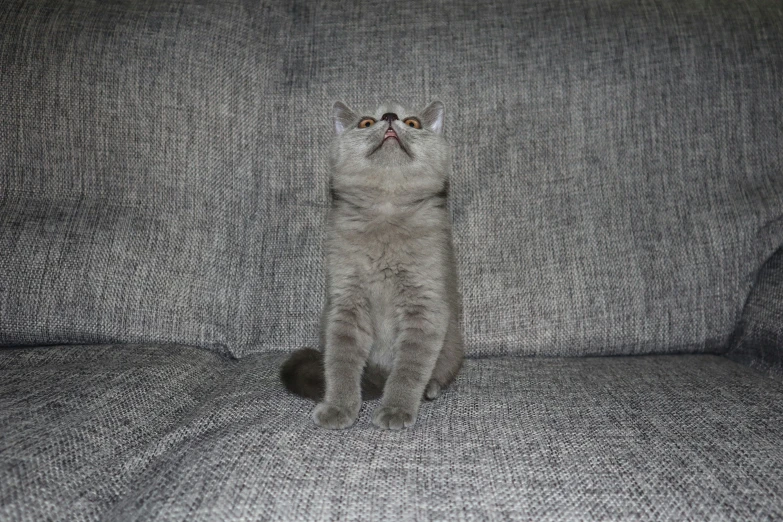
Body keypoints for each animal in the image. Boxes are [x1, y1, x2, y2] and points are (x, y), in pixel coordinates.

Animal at [282, 99, 462, 428]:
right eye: (366, 122)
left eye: (413, 123)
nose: (390, 118)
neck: (386, 208)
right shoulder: (346, 302)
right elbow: (341, 361)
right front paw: (338, 408)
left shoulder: (425, 304)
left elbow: (410, 367)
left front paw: (396, 410)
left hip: (453, 343)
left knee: (439, 370)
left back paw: (430, 388)